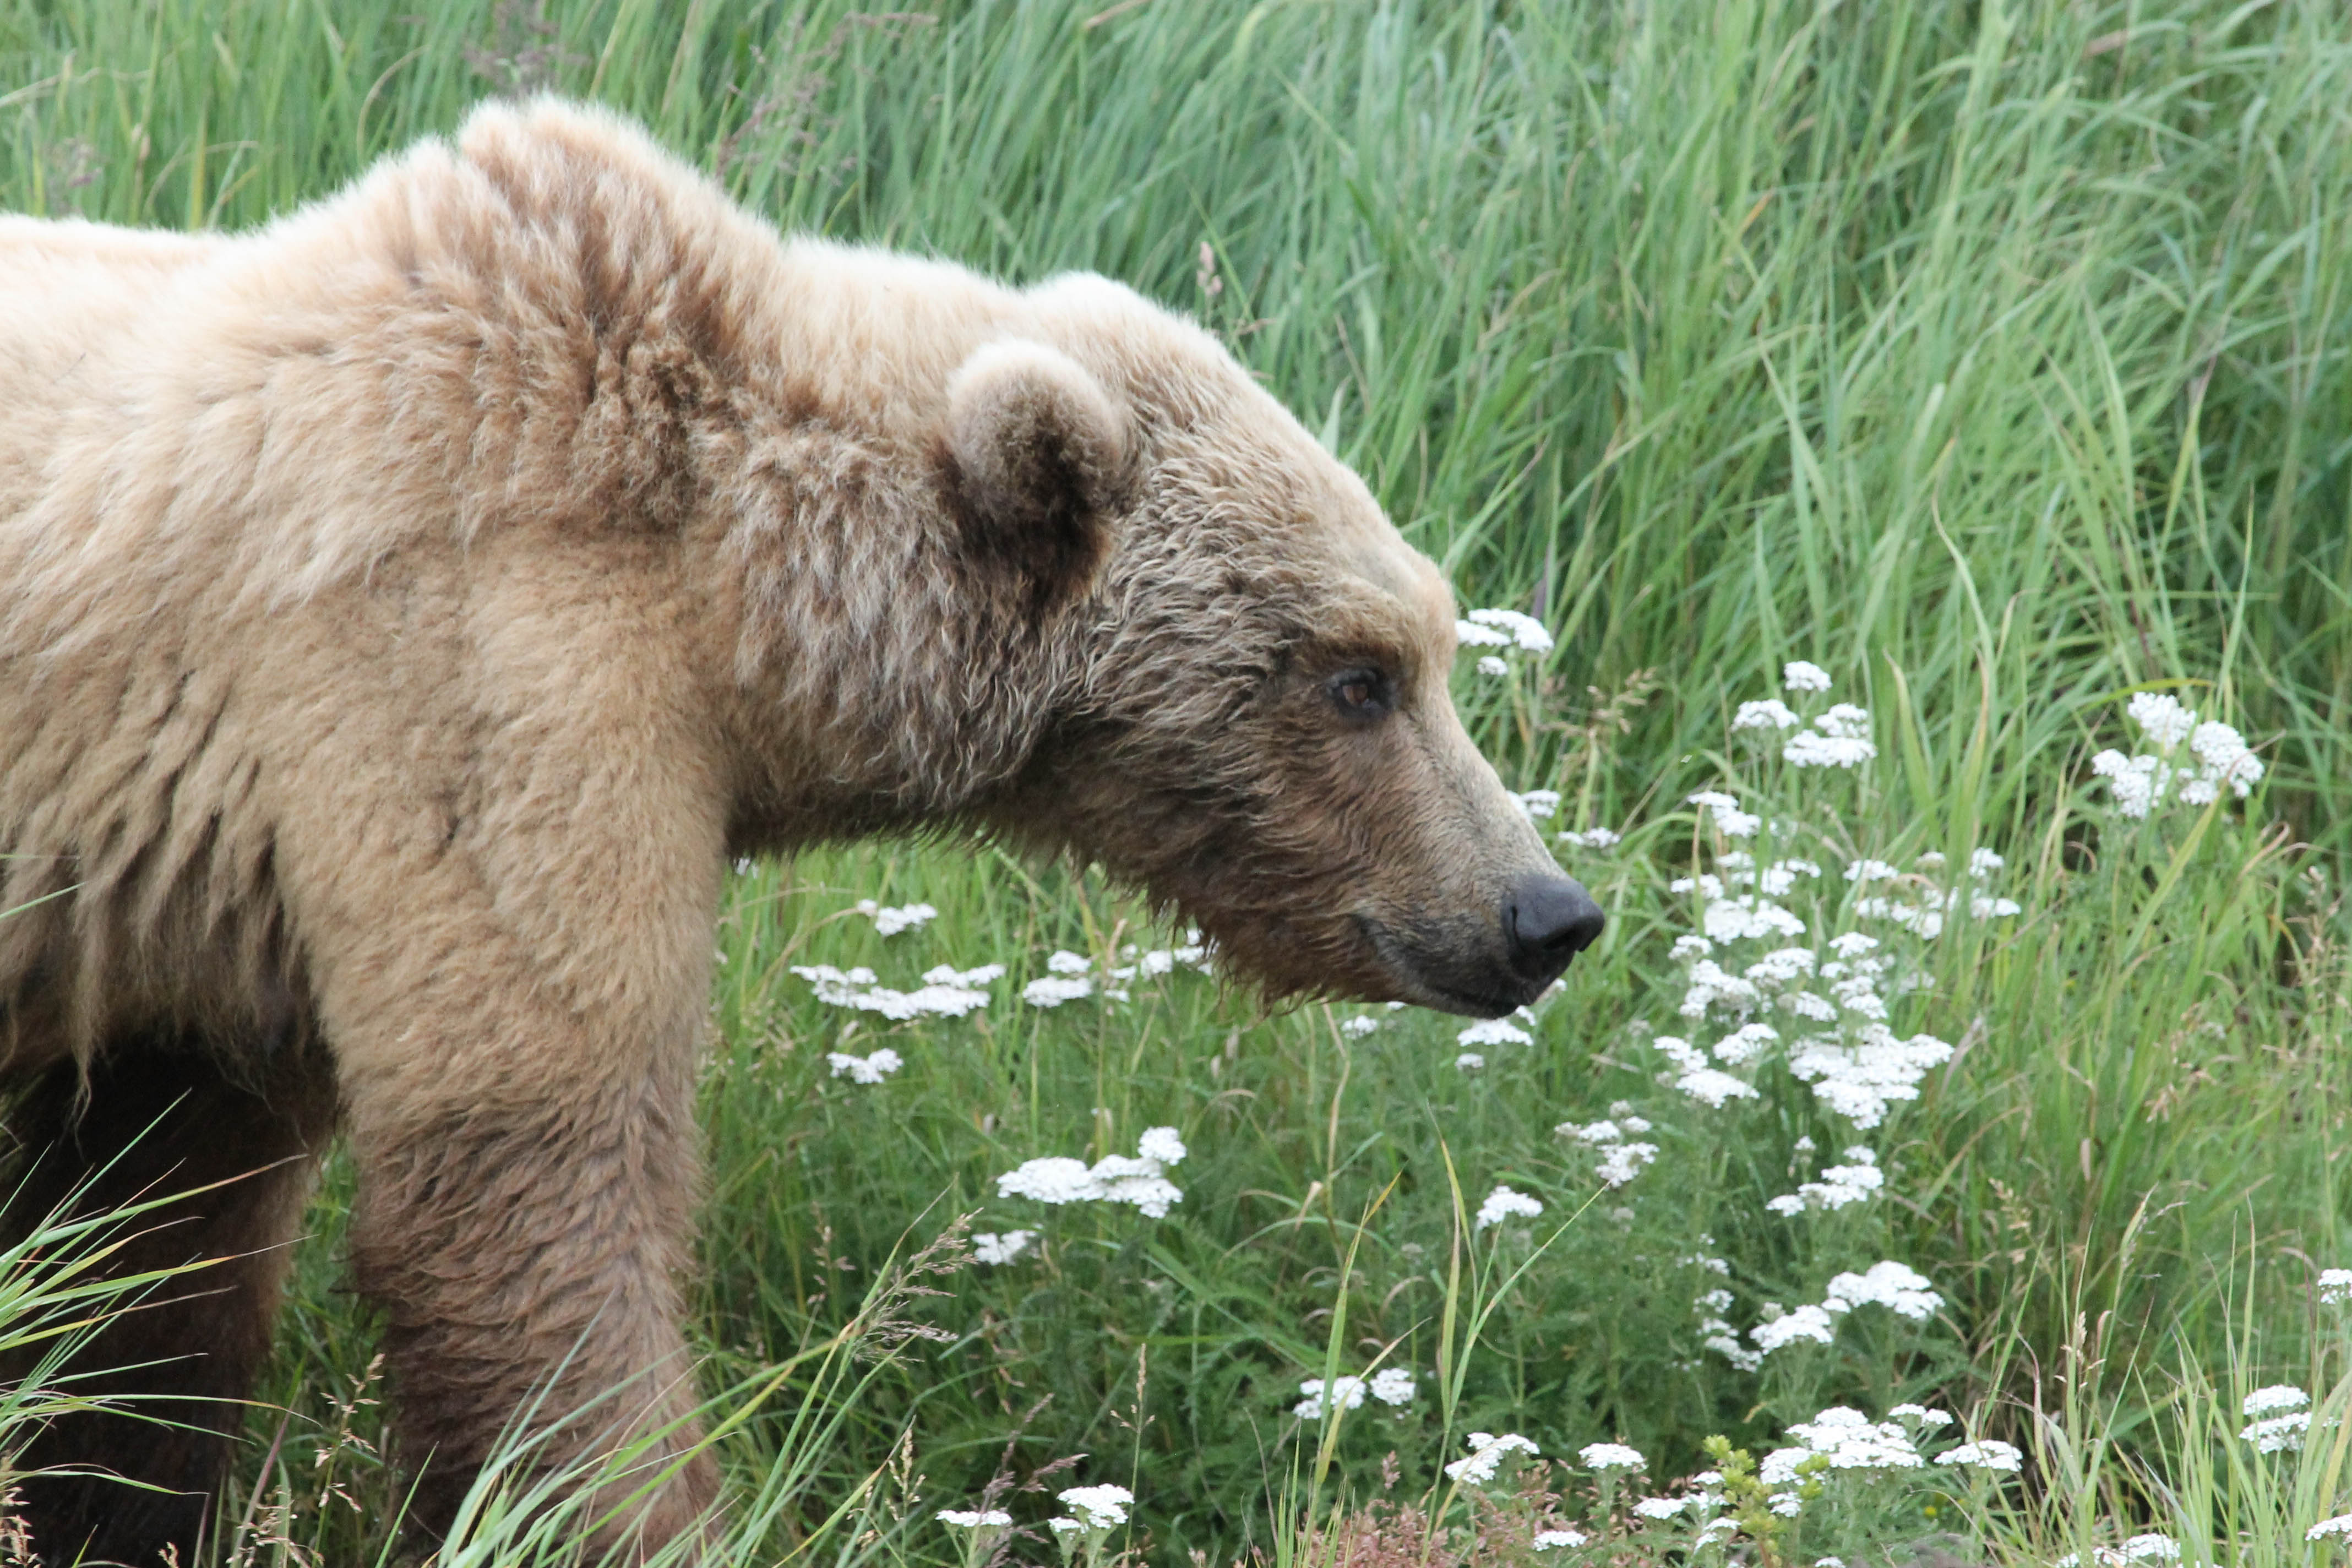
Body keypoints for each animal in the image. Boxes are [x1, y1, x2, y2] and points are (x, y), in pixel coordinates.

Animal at [0, 99, 1604, 1564]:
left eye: (1433, 643)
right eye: (1359, 677)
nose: (1545, 912)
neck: (736, 603)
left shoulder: (198, 897)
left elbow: (152, 1251)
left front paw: (120, 1500)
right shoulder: (463, 681)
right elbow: (536, 1166)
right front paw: (626, 1510)